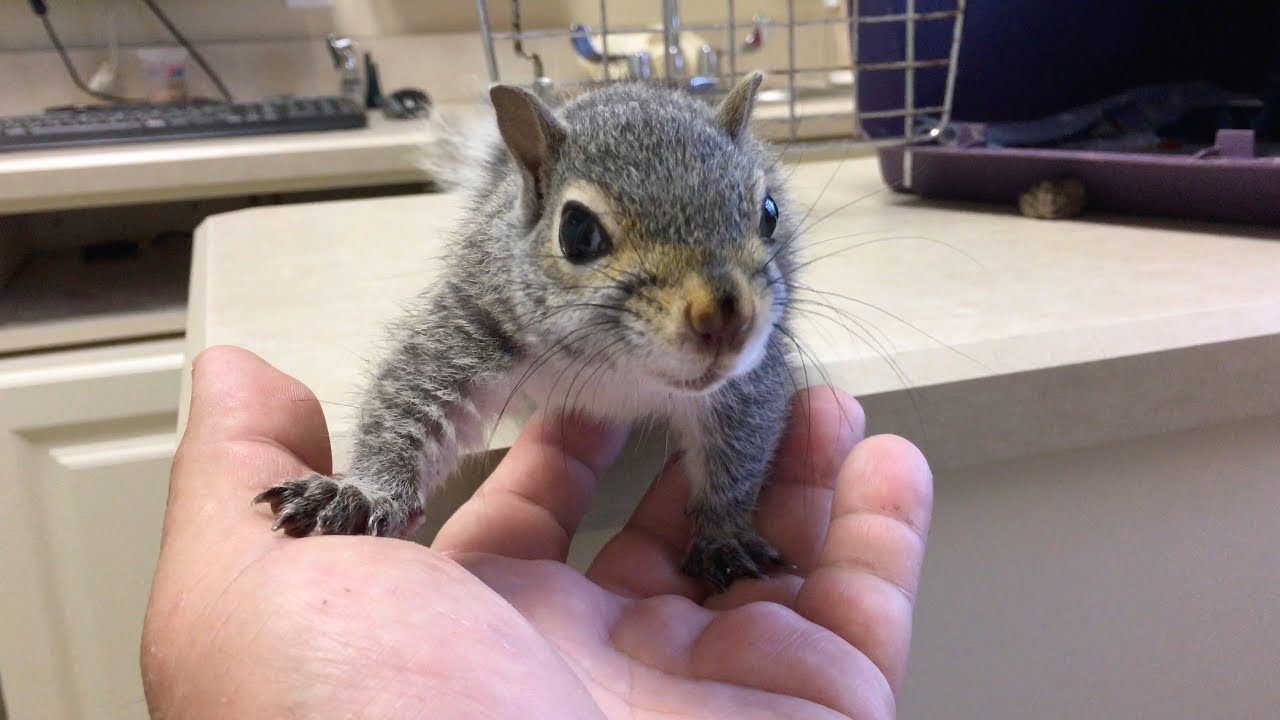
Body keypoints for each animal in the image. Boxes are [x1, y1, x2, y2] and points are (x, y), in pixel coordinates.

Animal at [254, 72, 801, 591]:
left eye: (770, 213)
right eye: (577, 230)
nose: (727, 320)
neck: (618, 370)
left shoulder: (750, 381)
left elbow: (740, 453)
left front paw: (724, 534)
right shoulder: (473, 326)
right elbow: (409, 399)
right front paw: (362, 494)